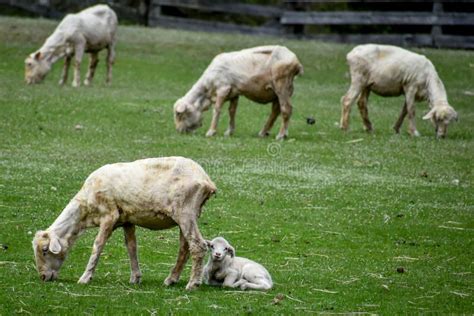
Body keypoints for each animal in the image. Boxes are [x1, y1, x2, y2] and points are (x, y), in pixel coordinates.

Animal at [32, 157, 217, 290]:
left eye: (45, 250)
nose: (43, 277)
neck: (85, 210)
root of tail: (206, 180)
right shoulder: (127, 220)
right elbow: (131, 247)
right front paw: (135, 277)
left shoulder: (109, 215)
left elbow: (98, 245)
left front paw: (85, 277)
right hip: (186, 215)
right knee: (185, 248)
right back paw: (171, 279)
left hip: (185, 211)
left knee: (198, 245)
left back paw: (192, 284)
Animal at [172, 45, 302, 140]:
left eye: (179, 114)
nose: (179, 131)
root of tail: (297, 62)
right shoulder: (234, 93)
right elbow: (232, 111)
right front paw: (229, 132)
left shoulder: (223, 88)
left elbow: (217, 109)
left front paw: (211, 132)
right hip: (279, 91)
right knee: (275, 111)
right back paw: (264, 132)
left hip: (282, 85)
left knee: (286, 109)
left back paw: (281, 135)